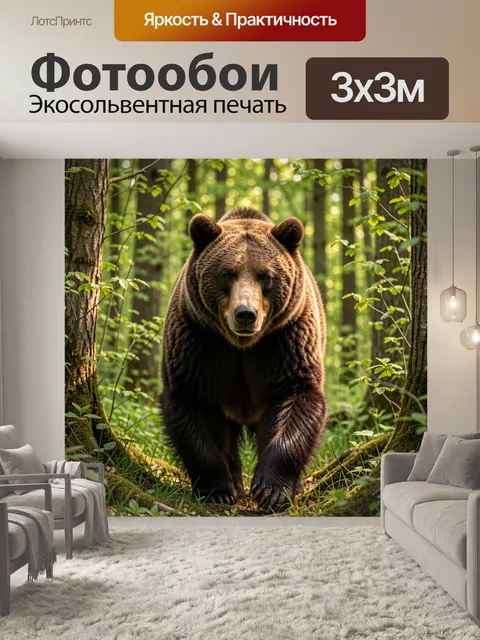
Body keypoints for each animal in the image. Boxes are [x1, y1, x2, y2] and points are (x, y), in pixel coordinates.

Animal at [160, 207, 328, 510]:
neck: (242, 345)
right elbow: (192, 405)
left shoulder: (287, 339)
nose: (246, 313)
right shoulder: (198, 341)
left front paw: (271, 490)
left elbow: (297, 398)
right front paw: (218, 489)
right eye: (227, 273)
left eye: (265, 275)